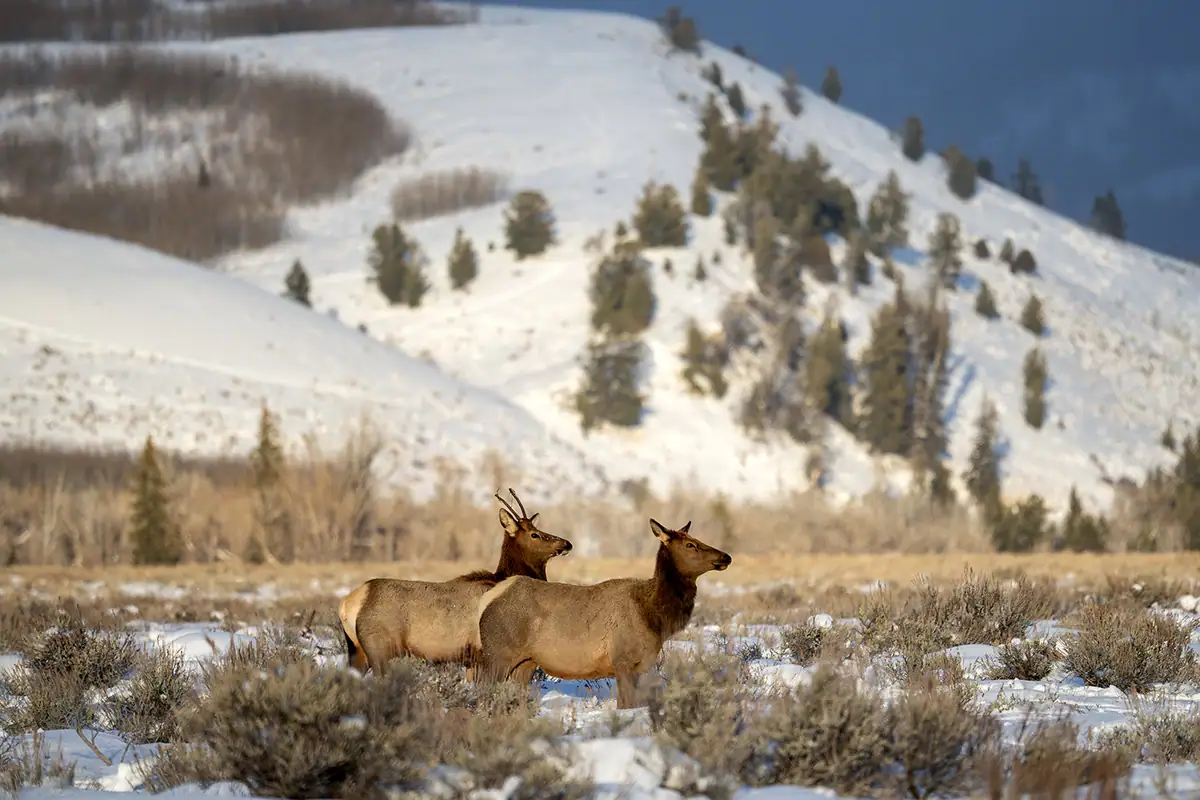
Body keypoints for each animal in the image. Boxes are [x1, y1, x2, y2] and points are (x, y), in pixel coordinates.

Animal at [337, 488, 572, 676]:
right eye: (535, 534)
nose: (566, 543)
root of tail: (347, 604)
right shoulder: (483, 653)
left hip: (357, 651)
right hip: (380, 648)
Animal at [473, 518, 731, 709]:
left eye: (697, 539)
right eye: (690, 545)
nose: (725, 556)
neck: (654, 617)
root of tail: (489, 598)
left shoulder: (641, 665)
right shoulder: (623, 659)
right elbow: (626, 705)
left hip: (526, 662)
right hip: (498, 654)